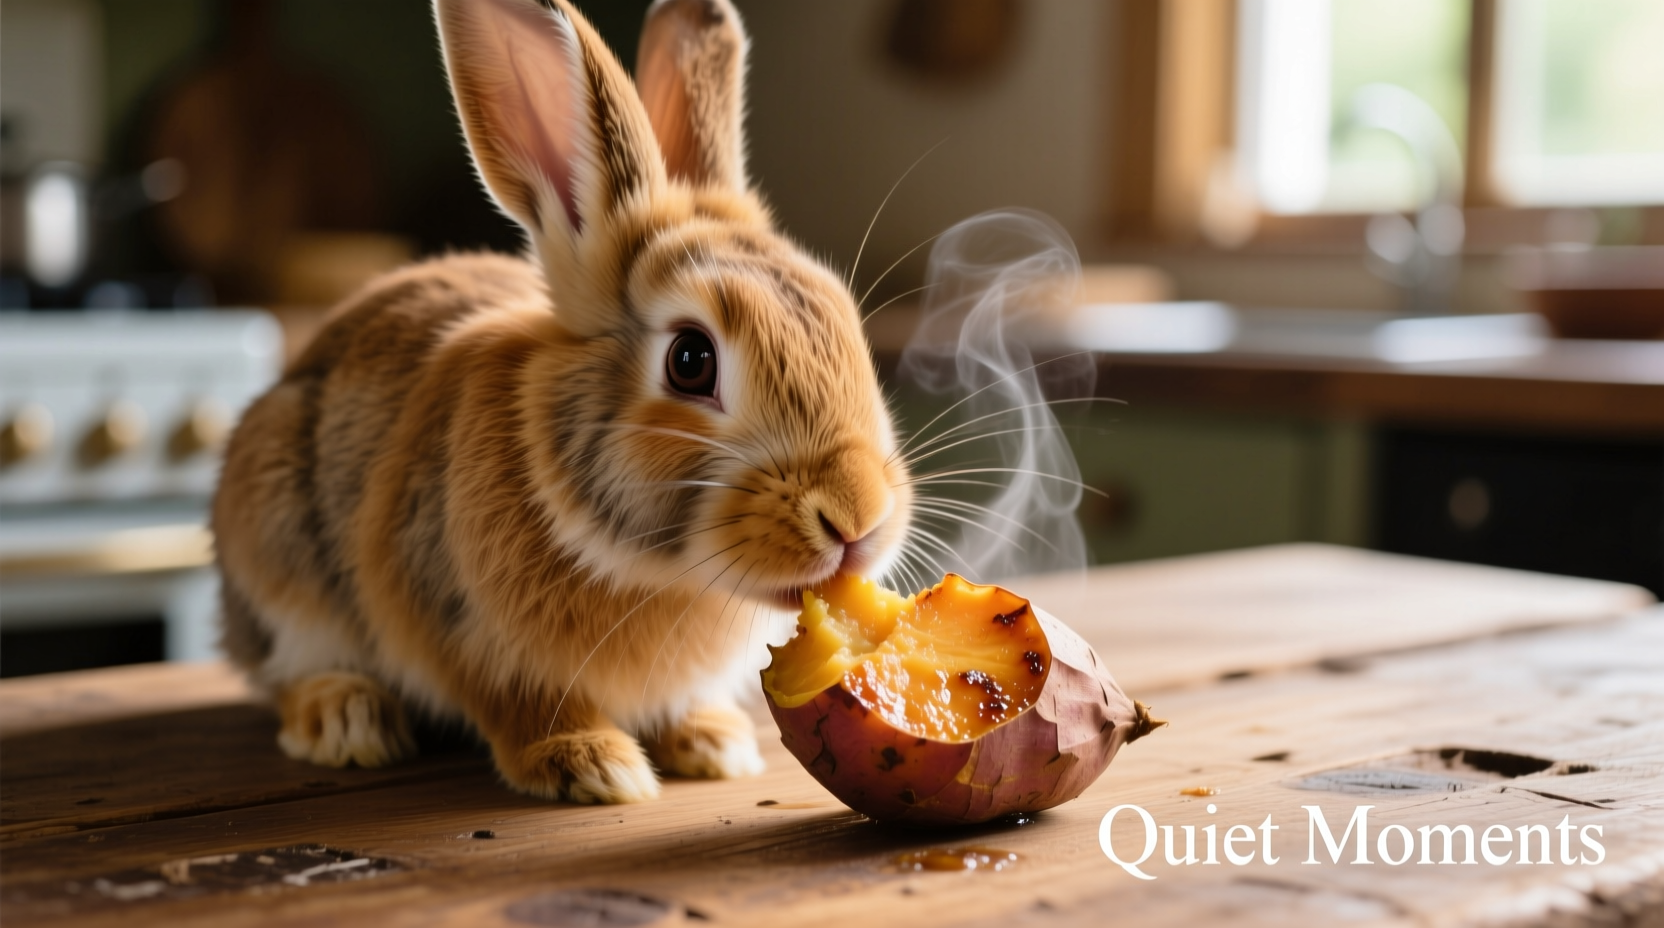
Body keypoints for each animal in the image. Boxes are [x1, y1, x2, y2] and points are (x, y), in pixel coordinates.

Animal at [211, 0, 911, 804]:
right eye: (691, 360)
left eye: (845, 322)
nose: (858, 517)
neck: (654, 571)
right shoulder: (466, 631)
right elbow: (521, 704)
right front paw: (594, 765)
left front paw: (714, 745)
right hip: (275, 550)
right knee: (288, 671)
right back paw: (346, 721)